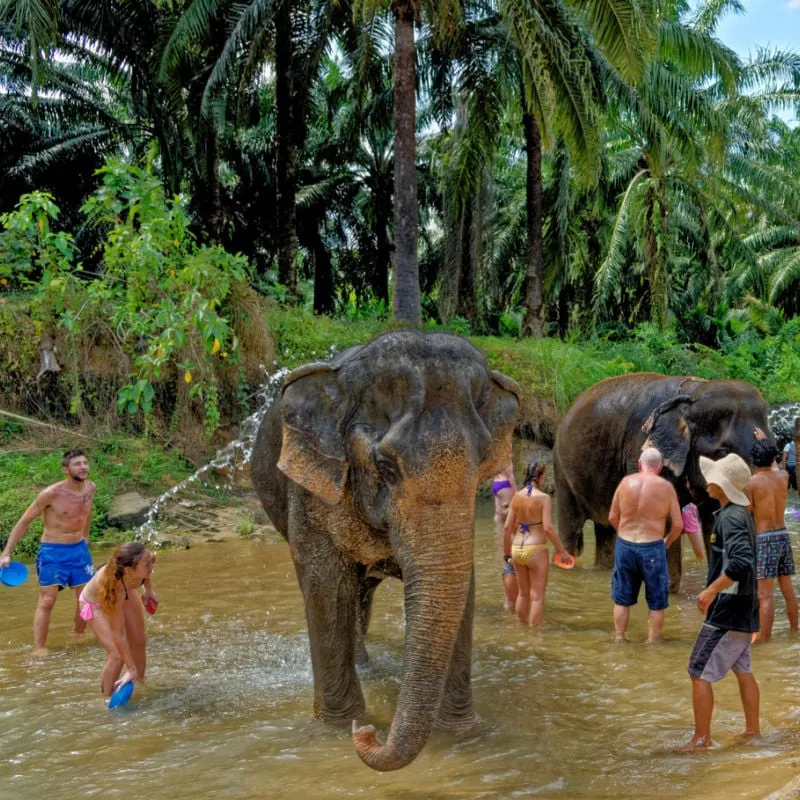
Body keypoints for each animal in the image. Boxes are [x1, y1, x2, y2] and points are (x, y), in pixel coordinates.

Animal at [250, 331, 520, 771]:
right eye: (386, 465)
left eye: (481, 460)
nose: (367, 733)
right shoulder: (311, 491)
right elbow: (324, 587)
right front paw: (339, 729)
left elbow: (461, 586)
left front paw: (460, 733)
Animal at [553, 373, 770, 589]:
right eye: (723, 452)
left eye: (774, 449)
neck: (692, 395)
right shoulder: (641, 449)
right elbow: (665, 521)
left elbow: (713, 520)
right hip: (563, 472)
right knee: (572, 532)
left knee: (606, 532)